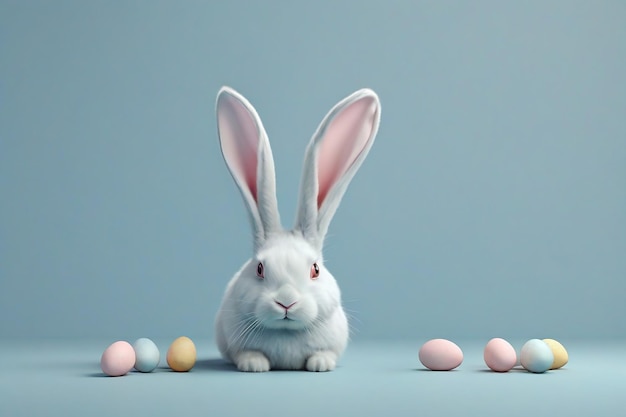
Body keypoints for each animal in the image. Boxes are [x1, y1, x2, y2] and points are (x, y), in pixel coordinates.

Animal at [214, 85, 380, 370]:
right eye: (259, 269)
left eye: (315, 269)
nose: (286, 302)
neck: (286, 334)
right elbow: (245, 354)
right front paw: (254, 365)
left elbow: (326, 353)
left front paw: (320, 364)